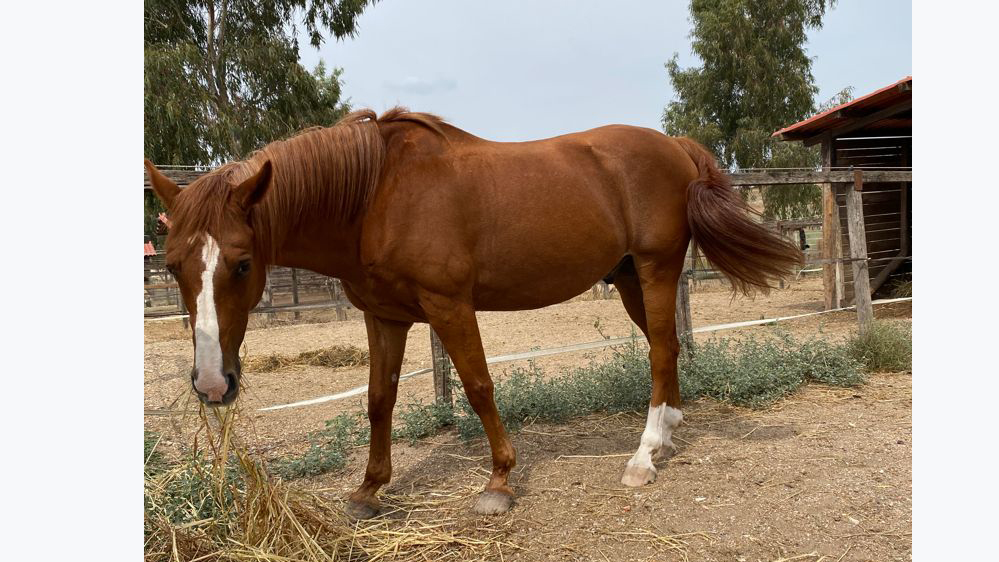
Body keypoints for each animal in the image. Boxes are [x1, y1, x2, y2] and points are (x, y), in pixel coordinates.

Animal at [145, 107, 801, 518]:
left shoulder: (449, 306)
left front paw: (499, 481)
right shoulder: (384, 316)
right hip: (629, 279)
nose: (212, 384)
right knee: (665, 349)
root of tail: (676, 146)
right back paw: (665, 436)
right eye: (173, 265)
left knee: (663, 347)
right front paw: (369, 490)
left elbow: (479, 385)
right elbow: (379, 399)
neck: (376, 196)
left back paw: (642, 458)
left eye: (242, 264)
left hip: (658, 269)